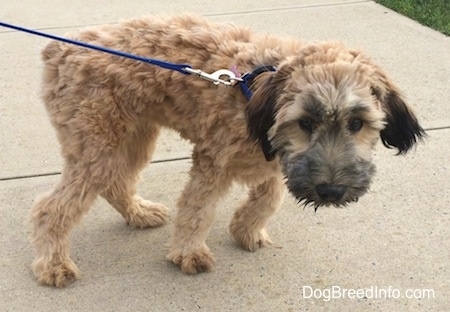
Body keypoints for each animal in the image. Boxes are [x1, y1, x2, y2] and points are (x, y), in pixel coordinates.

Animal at [29, 15, 424, 288]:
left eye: (357, 123)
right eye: (305, 122)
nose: (330, 191)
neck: (252, 91)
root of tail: (60, 48)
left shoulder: (273, 162)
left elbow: (268, 198)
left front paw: (246, 230)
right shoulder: (212, 160)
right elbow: (198, 209)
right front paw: (189, 252)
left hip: (133, 137)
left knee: (115, 183)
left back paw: (139, 214)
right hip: (98, 143)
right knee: (52, 208)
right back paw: (53, 264)